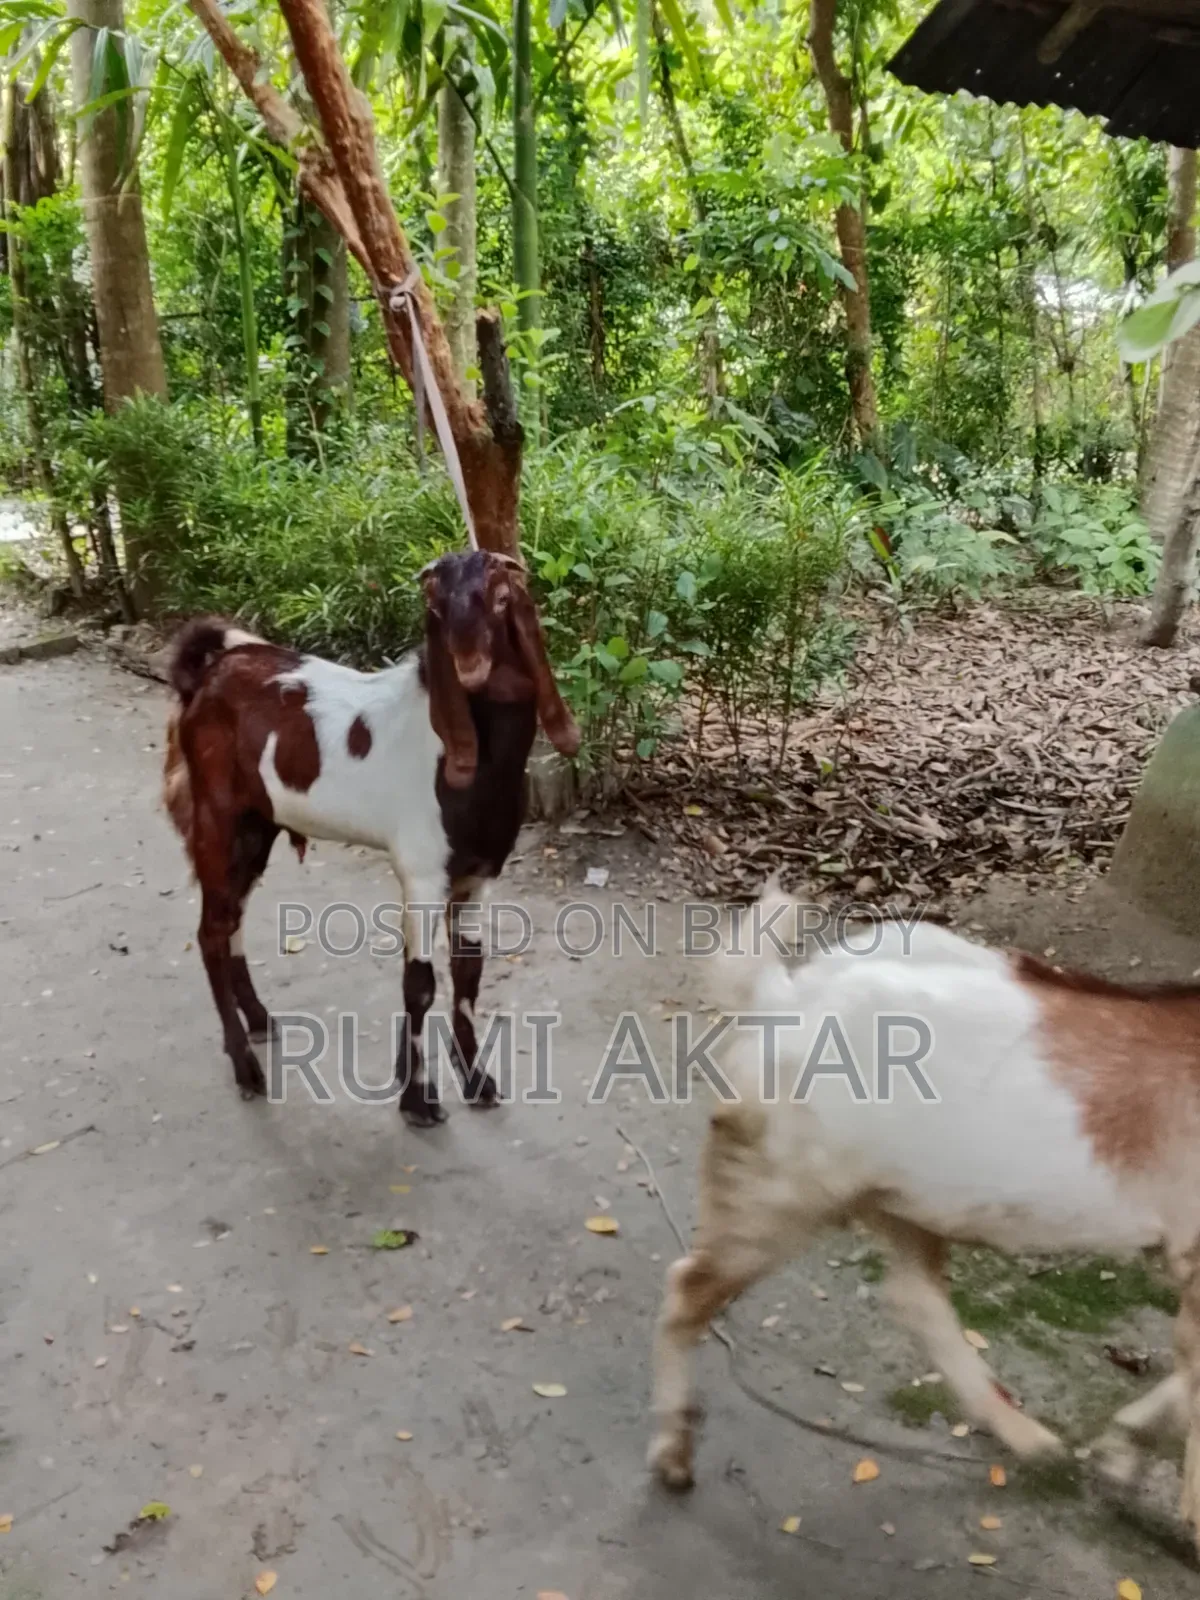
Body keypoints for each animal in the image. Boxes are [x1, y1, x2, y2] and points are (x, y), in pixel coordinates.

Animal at [163, 549, 579, 1124]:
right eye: (435, 606)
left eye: (501, 599)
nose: (470, 667)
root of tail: (203, 677)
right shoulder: (422, 872)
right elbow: (420, 984)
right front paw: (418, 1098)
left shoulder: (478, 876)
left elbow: (469, 972)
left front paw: (476, 1080)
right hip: (217, 815)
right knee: (210, 933)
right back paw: (246, 1068)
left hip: (256, 825)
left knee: (232, 922)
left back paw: (260, 1020)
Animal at [648, 891, 1200, 1552]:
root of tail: (781, 998)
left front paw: (1121, 1455)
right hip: (785, 1190)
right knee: (689, 1288)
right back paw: (673, 1454)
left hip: (908, 1198)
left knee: (916, 1299)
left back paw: (1026, 1438)